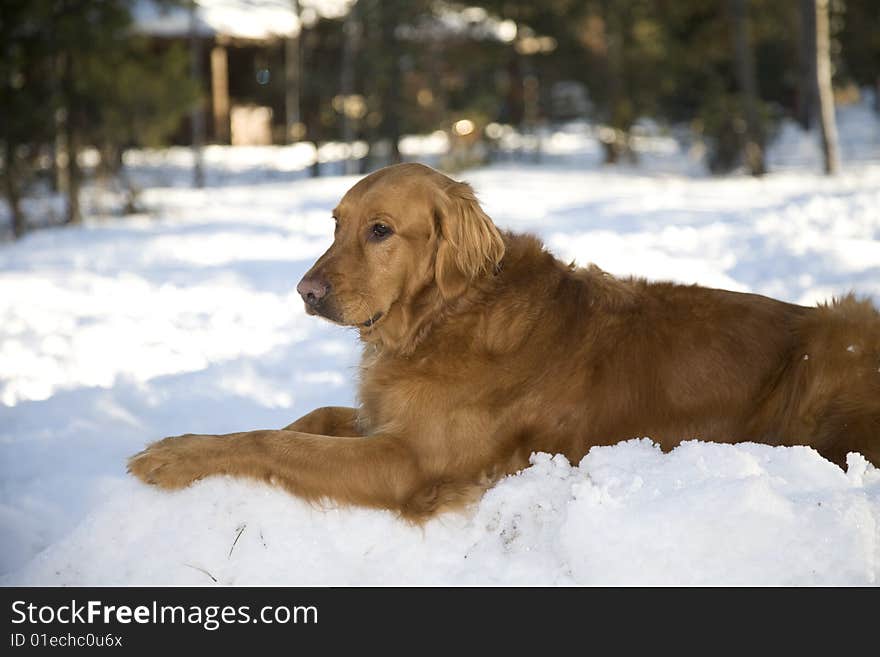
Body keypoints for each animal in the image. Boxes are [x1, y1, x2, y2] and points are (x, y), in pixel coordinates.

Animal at [129, 163, 880, 516]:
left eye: (381, 230)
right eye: (335, 223)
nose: (305, 291)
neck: (444, 317)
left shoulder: (410, 463)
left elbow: (273, 442)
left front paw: (172, 454)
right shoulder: (386, 420)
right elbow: (308, 418)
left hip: (834, 337)